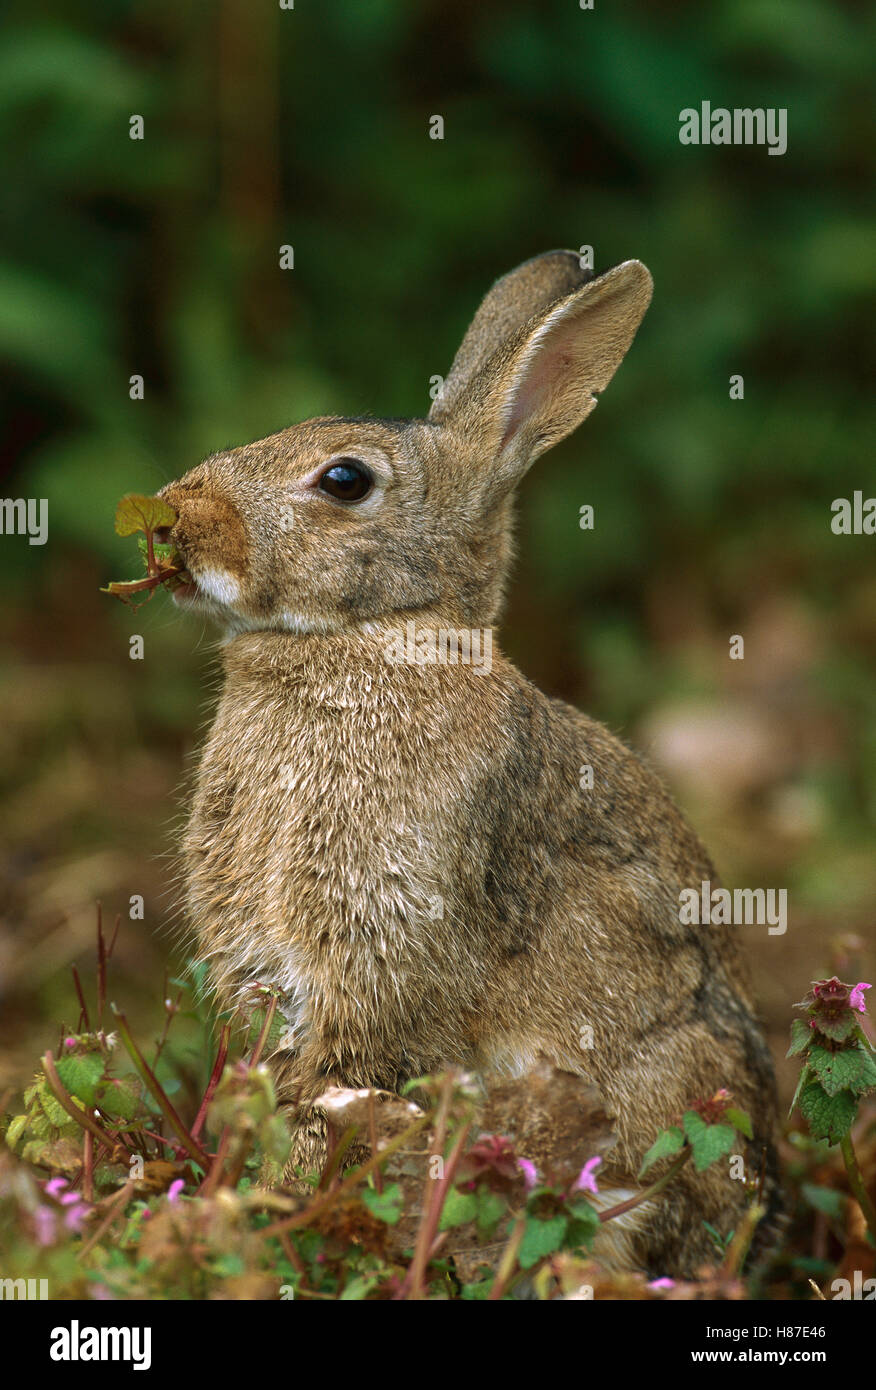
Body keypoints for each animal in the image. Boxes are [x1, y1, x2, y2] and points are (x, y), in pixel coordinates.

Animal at [157, 250, 780, 1278]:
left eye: (344, 480)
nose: (175, 520)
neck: (374, 638)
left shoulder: (384, 947)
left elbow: (338, 1094)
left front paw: (285, 1206)